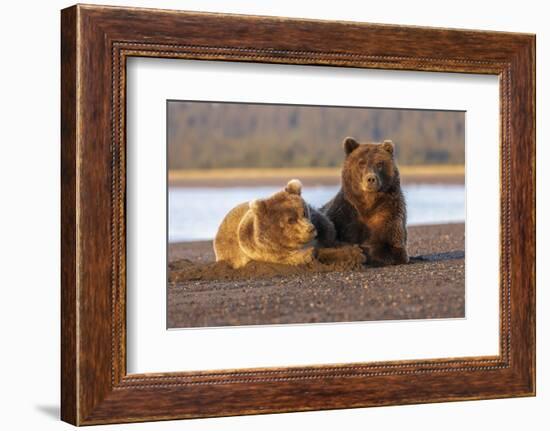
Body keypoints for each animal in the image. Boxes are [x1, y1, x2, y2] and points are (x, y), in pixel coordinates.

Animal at [324, 138, 410, 266]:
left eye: (379, 164)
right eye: (361, 163)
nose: (371, 179)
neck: (367, 204)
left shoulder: (389, 213)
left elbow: (393, 247)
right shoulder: (344, 215)